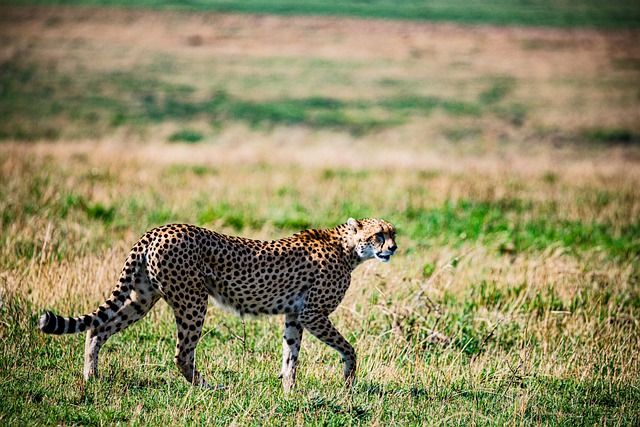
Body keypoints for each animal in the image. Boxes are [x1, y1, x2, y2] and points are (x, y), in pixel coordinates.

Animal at [40, 217, 396, 392]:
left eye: (393, 233)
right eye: (379, 234)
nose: (393, 248)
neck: (348, 248)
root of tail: (158, 229)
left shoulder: (295, 315)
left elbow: (291, 354)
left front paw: (289, 391)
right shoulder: (313, 314)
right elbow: (349, 348)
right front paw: (348, 381)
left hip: (143, 297)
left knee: (97, 329)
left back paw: (91, 377)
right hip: (192, 300)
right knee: (182, 353)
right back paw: (210, 388)